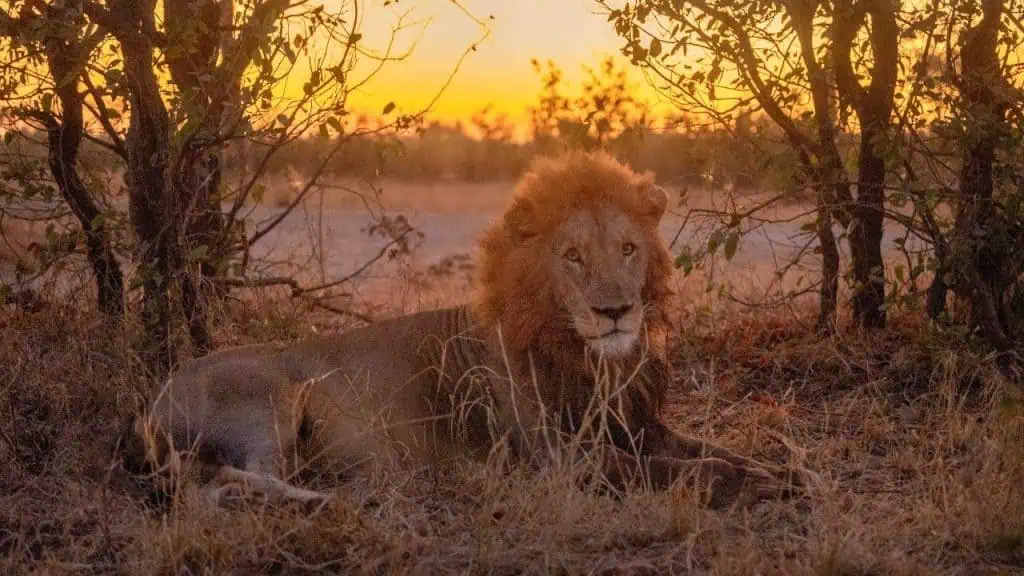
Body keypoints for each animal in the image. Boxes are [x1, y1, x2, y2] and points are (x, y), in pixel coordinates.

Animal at [121, 151, 798, 508]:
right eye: (573, 257)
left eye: (629, 249)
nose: (615, 312)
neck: (590, 358)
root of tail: (152, 398)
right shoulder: (555, 458)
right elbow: (669, 471)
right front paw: (754, 483)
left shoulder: (636, 426)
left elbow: (710, 450)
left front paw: (790, 469)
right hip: (271, 398)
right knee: (215, 481)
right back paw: (333, 500)